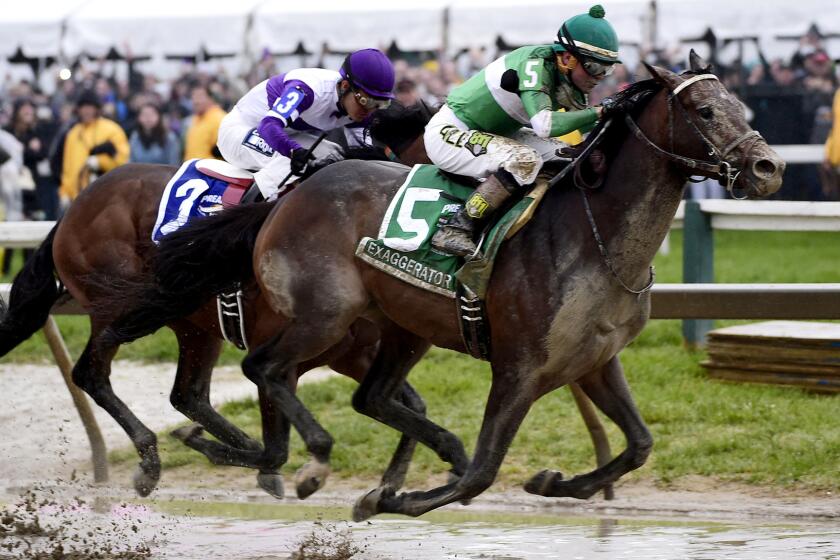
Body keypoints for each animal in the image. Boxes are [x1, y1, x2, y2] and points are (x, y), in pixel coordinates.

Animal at [120, 52, 788, 516]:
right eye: (704, 111)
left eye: (741, 106)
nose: (768, 167)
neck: (594, 239)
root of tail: (289, 194)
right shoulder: (520, 368)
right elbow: (480, 475)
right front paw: (390, 498)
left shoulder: (596, 361)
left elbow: (639, 444)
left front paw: (556, 481)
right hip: (326, 314)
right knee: (266, 369)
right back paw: (304, 458)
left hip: (399, 326)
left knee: (368, 395)